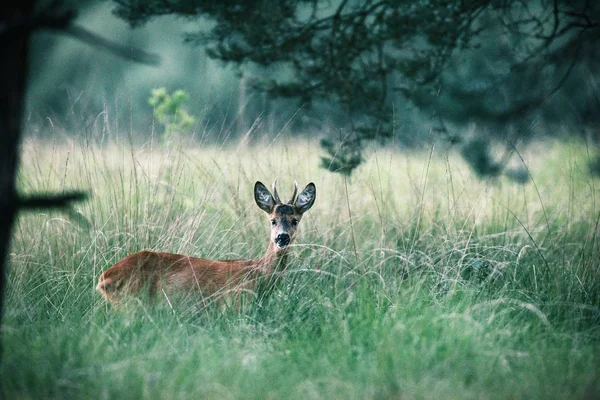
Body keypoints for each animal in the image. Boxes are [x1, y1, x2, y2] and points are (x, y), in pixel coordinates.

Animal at [96, 181, 316, 306]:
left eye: (295, 220)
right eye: (272, 220)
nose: (282, 238)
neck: (257, 275)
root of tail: (103, 279)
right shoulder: (235, 304)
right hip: (131, 302)